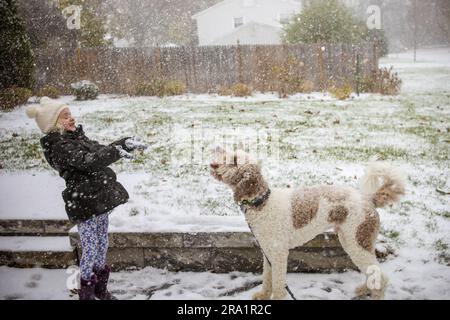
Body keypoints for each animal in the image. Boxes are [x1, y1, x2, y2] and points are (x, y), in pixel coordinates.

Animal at [209, 148, 406, 300]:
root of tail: (369, 199)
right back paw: (364, 289)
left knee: (380, 276)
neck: (262, 203)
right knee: (372, 270)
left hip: (358, 241)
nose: (216, 152)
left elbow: (278, 283)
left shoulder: (279, 254)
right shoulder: (267, 252)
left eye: (235, 161)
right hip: (351, 240)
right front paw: (263, 295)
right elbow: (267, 277)